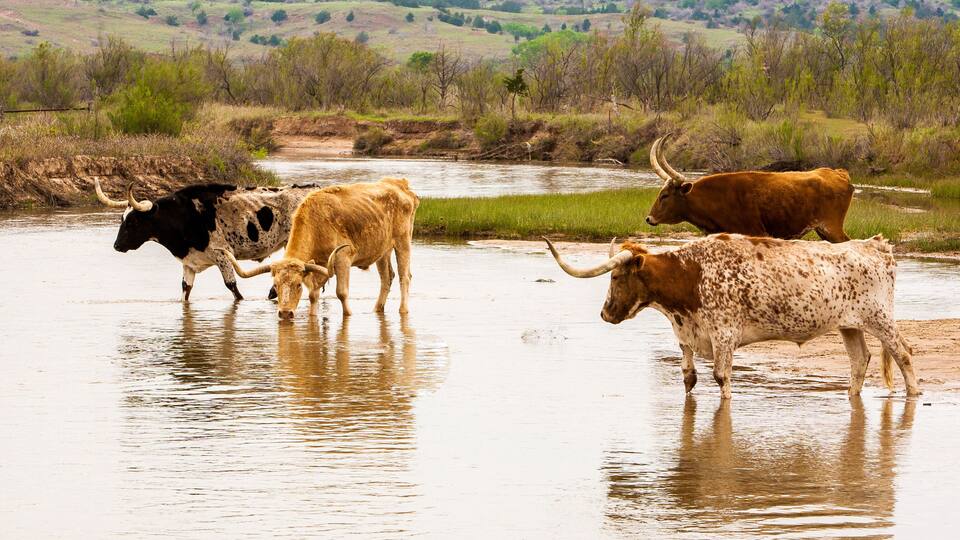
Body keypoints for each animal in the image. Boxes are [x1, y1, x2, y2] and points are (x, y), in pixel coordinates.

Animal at [95, 179, 315, 301]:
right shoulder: (189, 263)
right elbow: (185, 291)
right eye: (122, 219)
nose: (117, 246)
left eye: (133, 222)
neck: (183, 216)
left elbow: (232, 287)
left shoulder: (222, 255)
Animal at [223, 178, 419, 320]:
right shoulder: (319, 266)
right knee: (387, 278)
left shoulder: (342, 258)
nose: (285, 313)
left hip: (403, 241)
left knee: (404, 277)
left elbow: (341, 293)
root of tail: (400, 185)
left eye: (298, 285)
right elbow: (313, 295)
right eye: (276, 285)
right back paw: (377, 309)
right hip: (382, 250)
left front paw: (348, 314)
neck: (317, 223)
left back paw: (403, 310)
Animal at [542, 233, 920, 400]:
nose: (606, 313)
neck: (691, 273)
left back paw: (914, 395)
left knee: (903, 352)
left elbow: (722, 378)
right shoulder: (687, 337)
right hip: (849, 325)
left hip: (880, 318)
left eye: (617, 276)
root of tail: (875, 245)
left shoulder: (724, 336)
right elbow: (689, 378)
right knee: (860, 360)